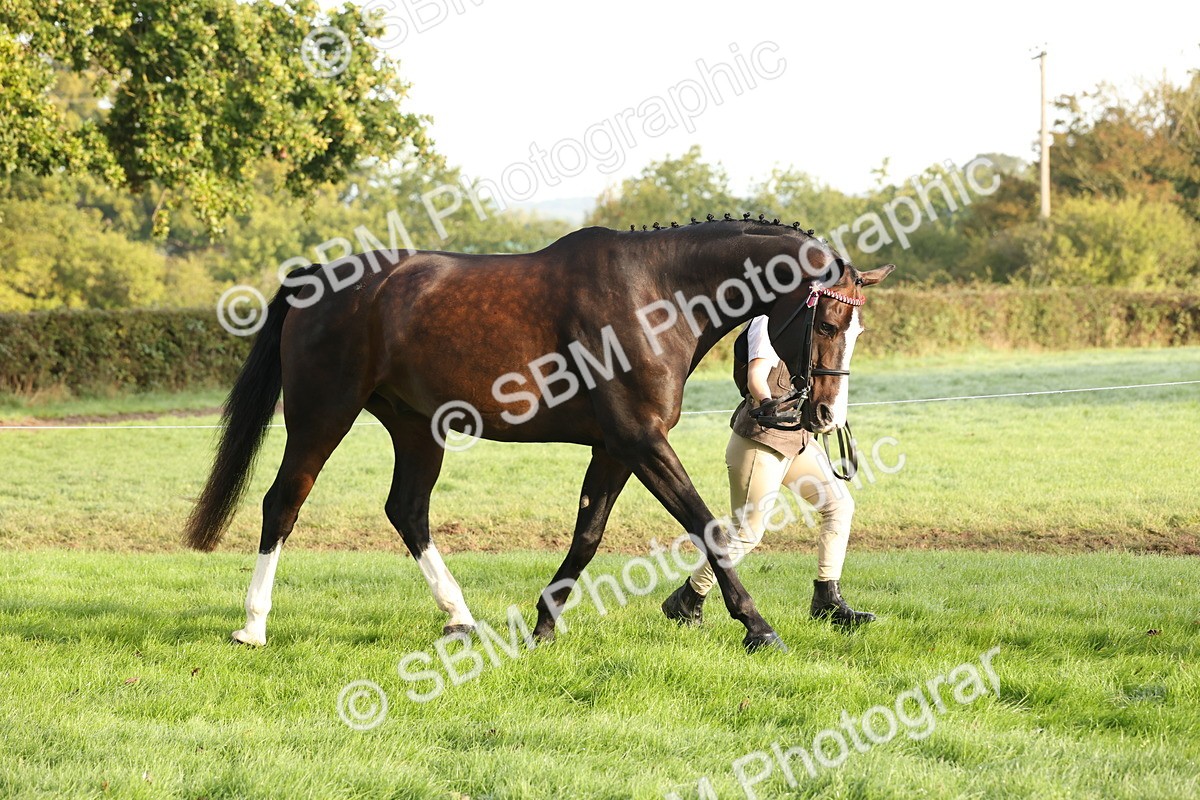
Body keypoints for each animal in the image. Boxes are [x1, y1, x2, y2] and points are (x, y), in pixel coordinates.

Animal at [184, 215, 894, 653]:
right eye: (826, 322)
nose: (825, 416)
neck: (657, 293)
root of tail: (315, 280)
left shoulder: (616, 447)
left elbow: (588, 534)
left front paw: (545, 625)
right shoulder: (641, 442)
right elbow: (708, 527)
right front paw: (757, 627)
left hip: (417, 429)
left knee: (407, 510)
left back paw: (460, 619)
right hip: (321, 416)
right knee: (283, 502)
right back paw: (253, 626)